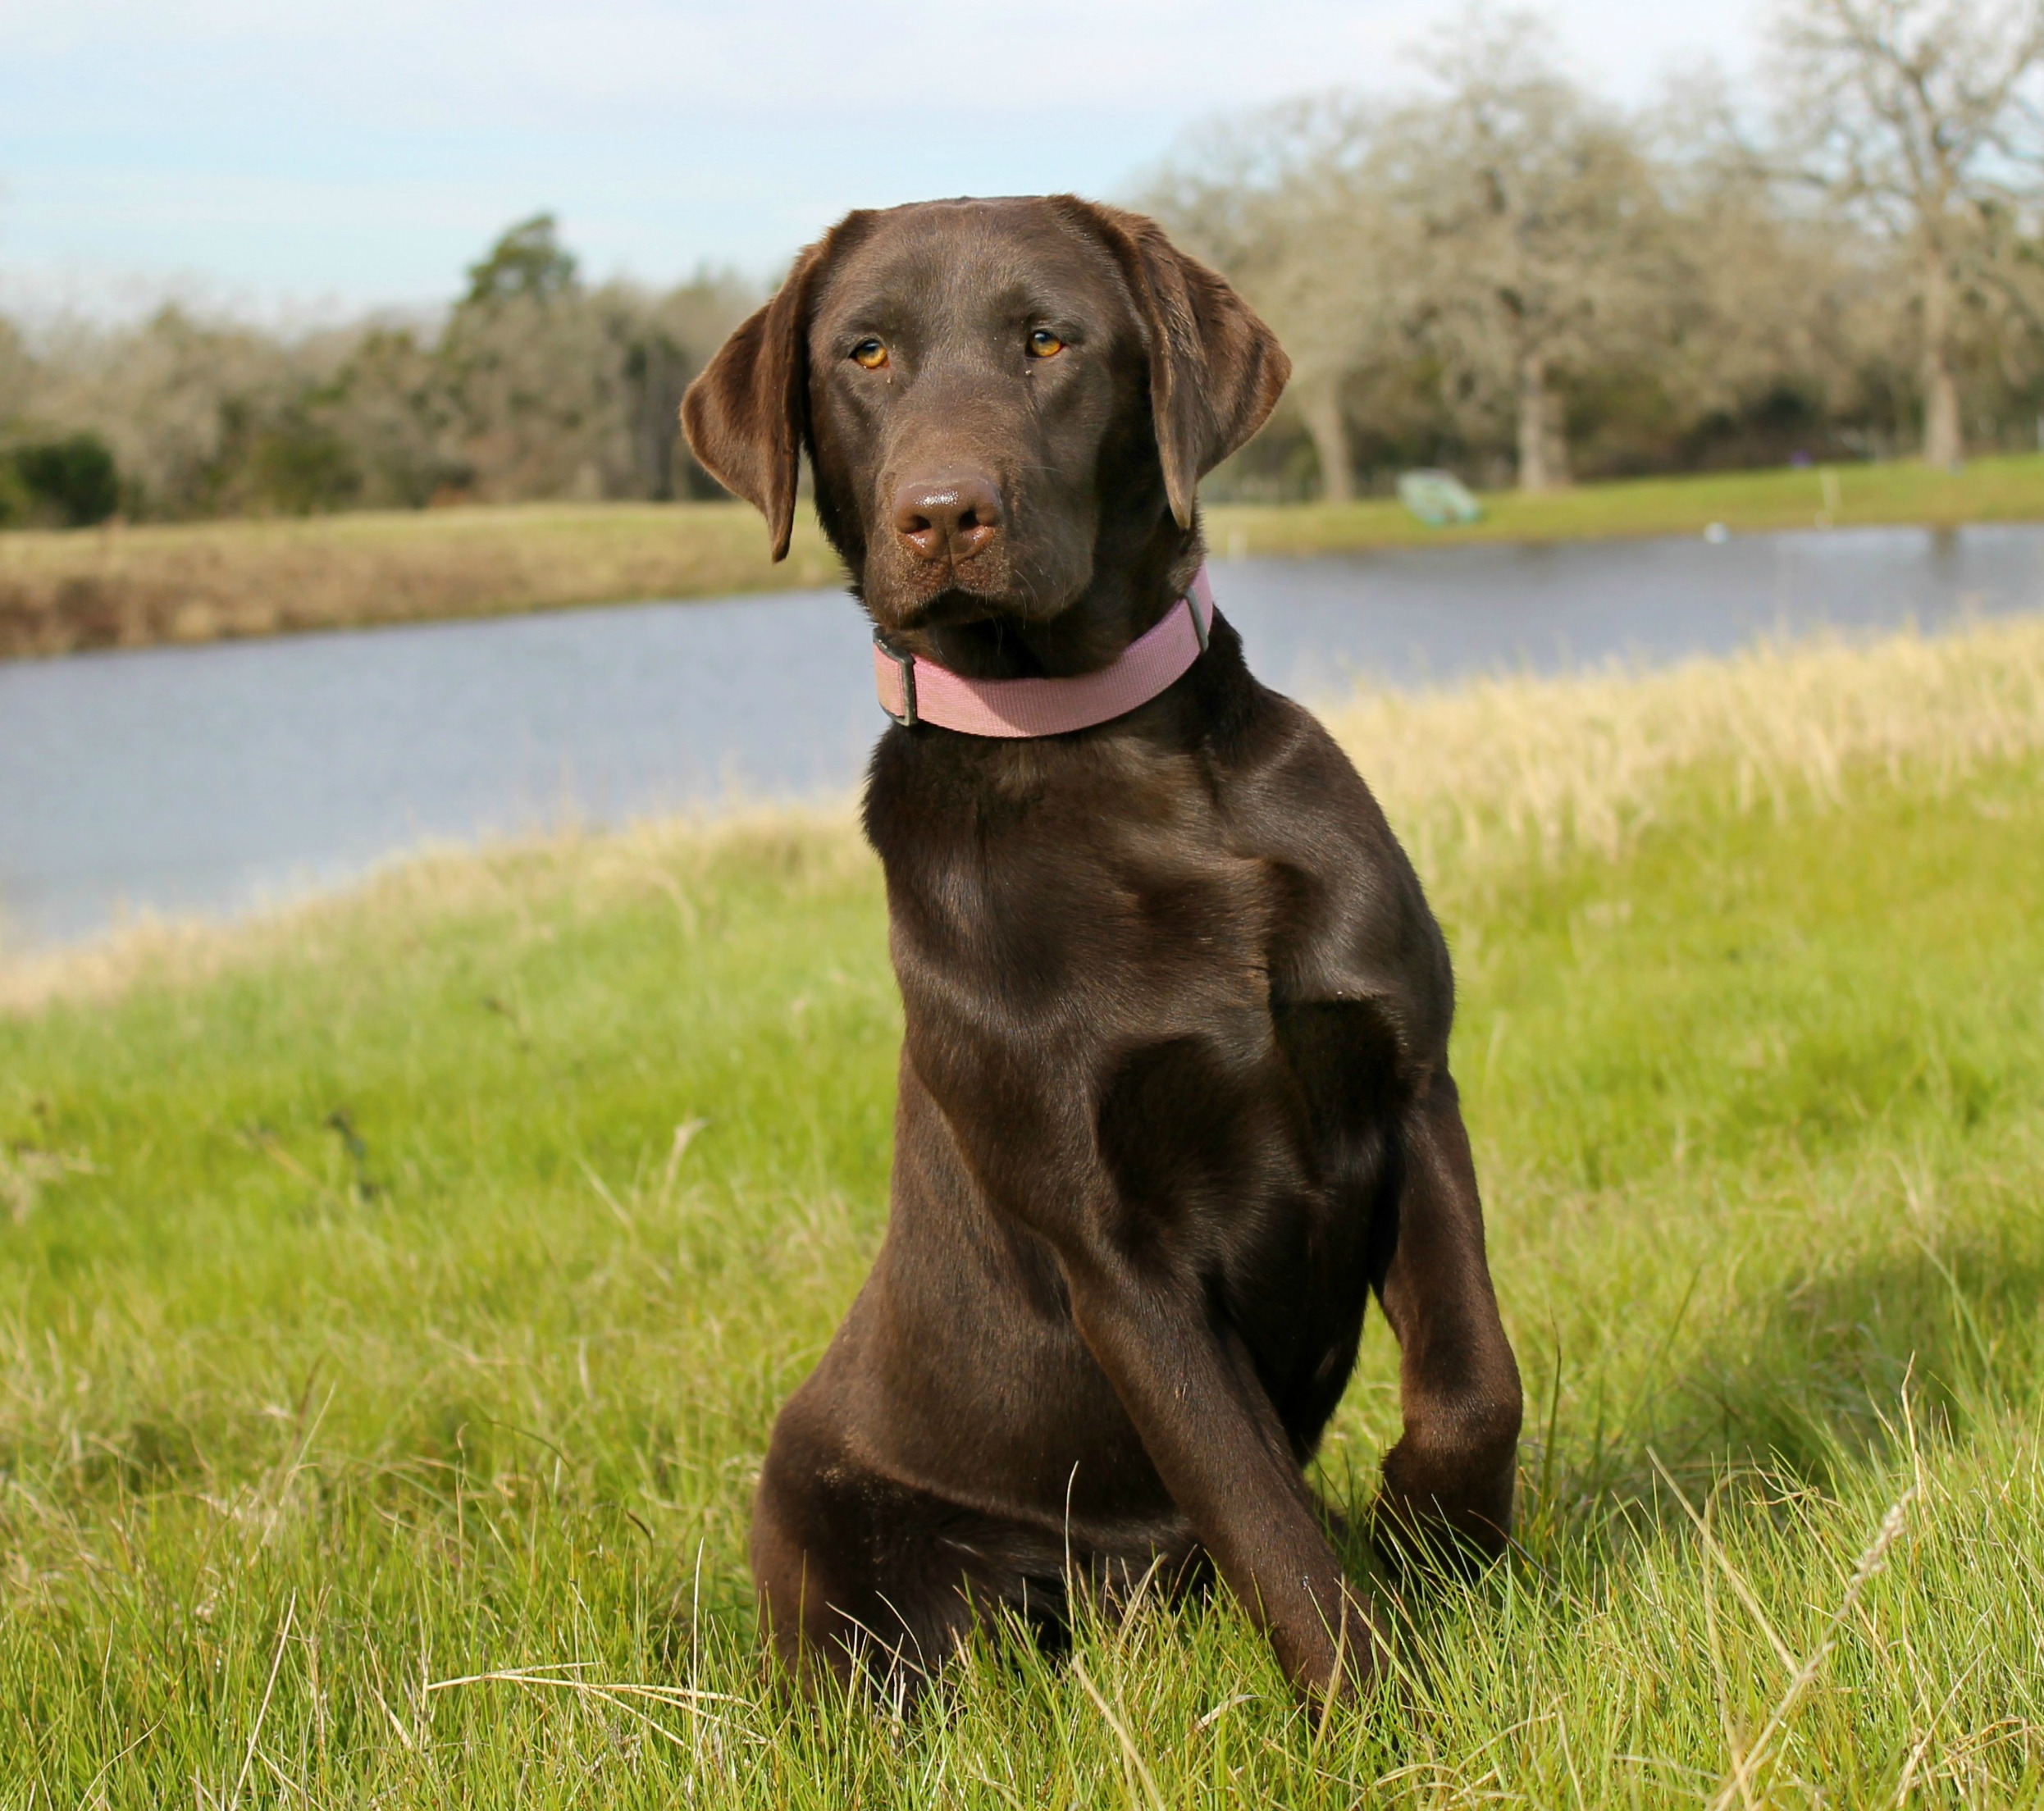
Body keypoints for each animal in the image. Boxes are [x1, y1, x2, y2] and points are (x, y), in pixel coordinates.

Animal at [682, 194, 1521, 1700]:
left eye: (1049, 341)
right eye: (865, 352)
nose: (943, 512)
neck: (1113, 762)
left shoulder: (1410, 1083)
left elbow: (1476, 1379)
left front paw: (1437, 1532)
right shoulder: (1112, 1248)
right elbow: (1265, 1519)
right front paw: (1379, 1711)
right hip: (848, 1566)